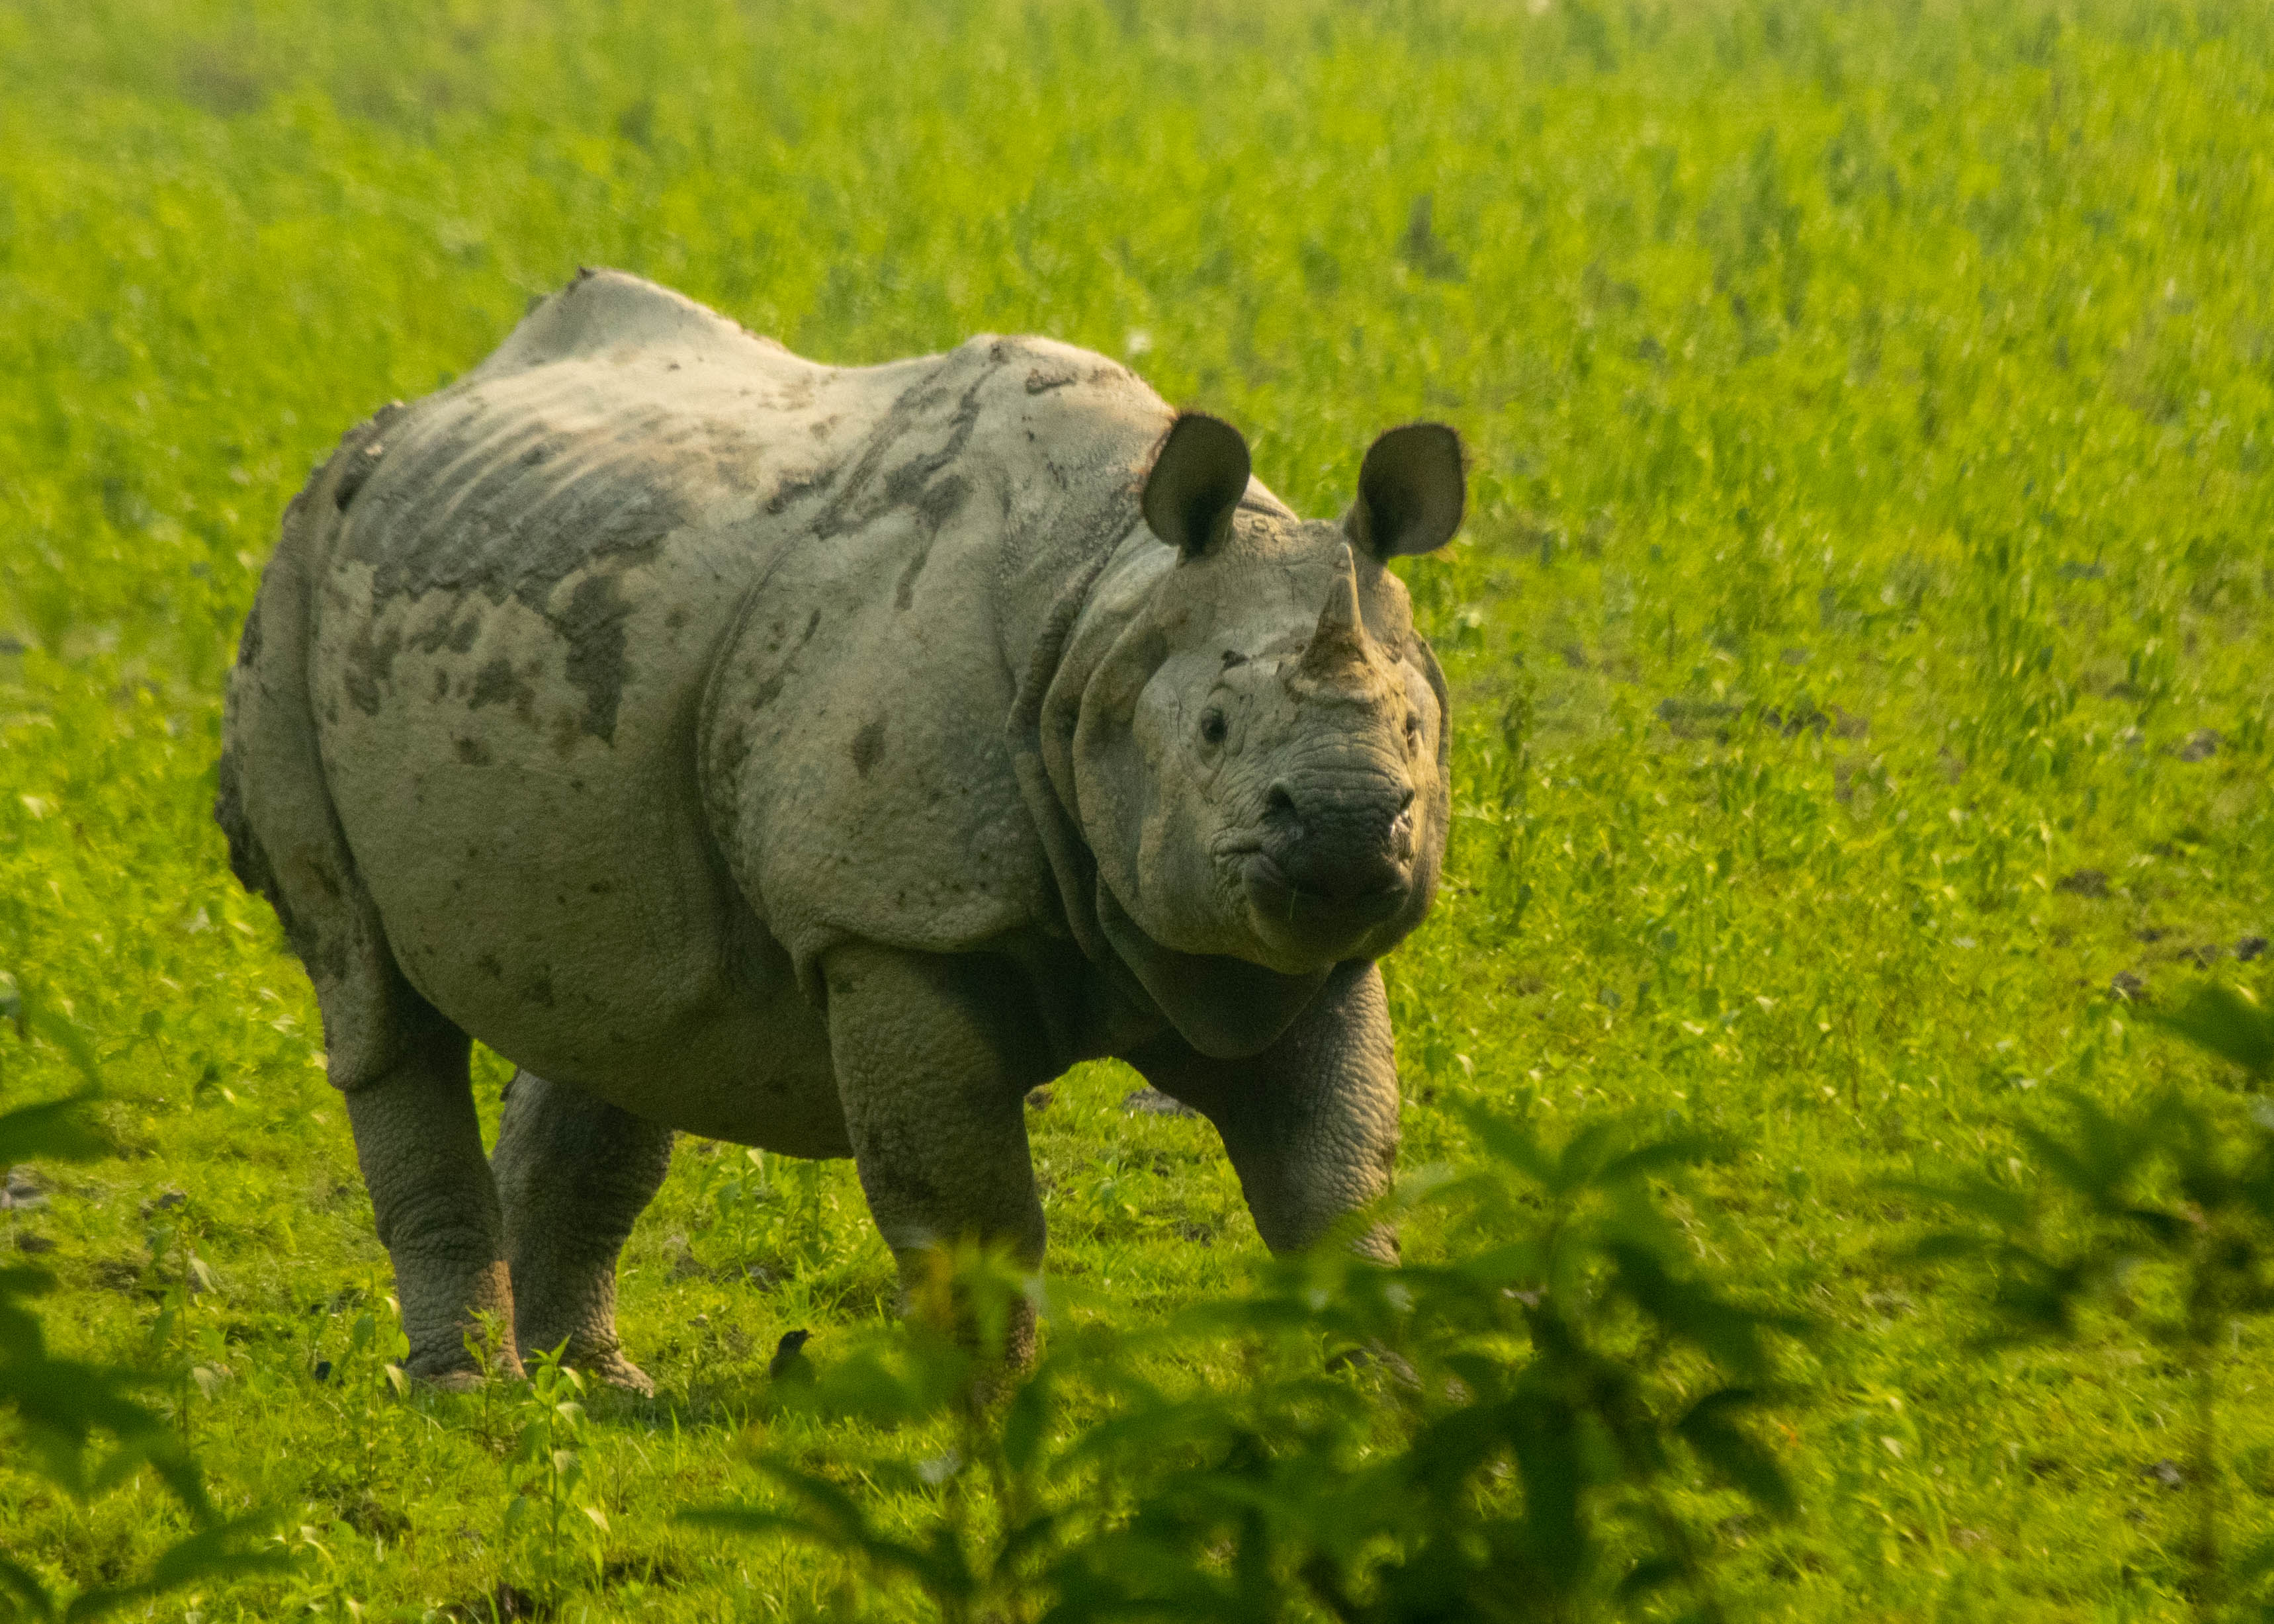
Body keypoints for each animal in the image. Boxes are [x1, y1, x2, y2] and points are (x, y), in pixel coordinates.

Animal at [214, 271, 1455, 1383]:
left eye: (1412, 729)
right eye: (1210, 726)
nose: (1348, 824)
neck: (1109, 611)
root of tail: (415, 409)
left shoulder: (1290, 948)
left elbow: (1334, 1184)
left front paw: (1382, 1398)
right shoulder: (892, 920)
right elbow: (971, 1213)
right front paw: (990, 1419)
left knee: (627, 1011)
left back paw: (594, 1386)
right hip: (292, 581)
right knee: (374, 996)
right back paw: (469, 1393)